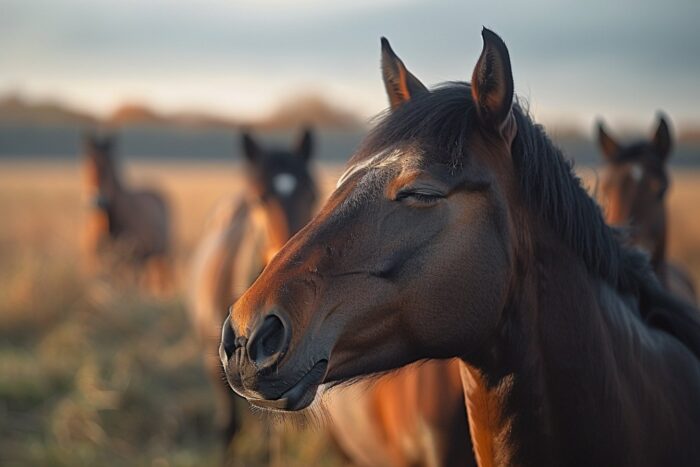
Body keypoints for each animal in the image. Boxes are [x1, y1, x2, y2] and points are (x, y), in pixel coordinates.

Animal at [82, 132, 171, 291]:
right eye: (87, 167)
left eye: (107, 169)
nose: (96, 200)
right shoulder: (94, 263)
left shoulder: (131, 261)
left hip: (161, 254)